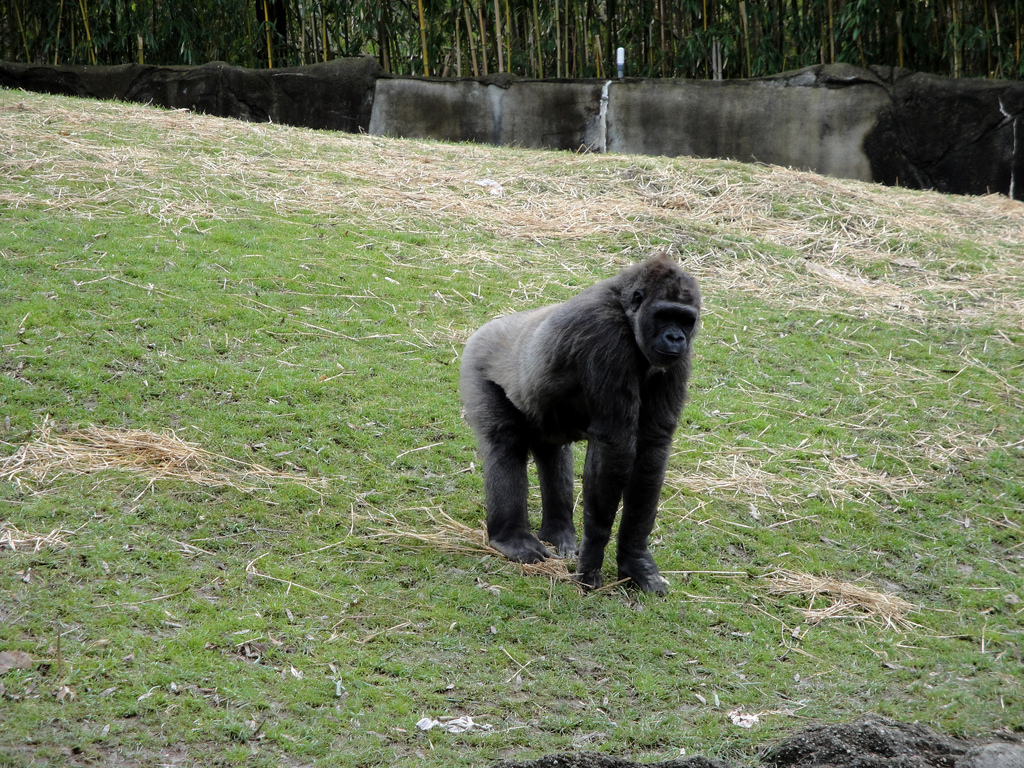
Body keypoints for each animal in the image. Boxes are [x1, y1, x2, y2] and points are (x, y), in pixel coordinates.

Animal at [460, 250, 700, 594]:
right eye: (665, 315)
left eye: (685, 320)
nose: (675, 337)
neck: (626, 311)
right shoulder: (604, 334)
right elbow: (615, 448)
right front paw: (593, 558)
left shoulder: (679, 359)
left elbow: (652, 449)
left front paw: (635, 558)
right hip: (477, 359)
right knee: (504, 445)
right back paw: (512, 538)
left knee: (553, 455)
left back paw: (558, 532)